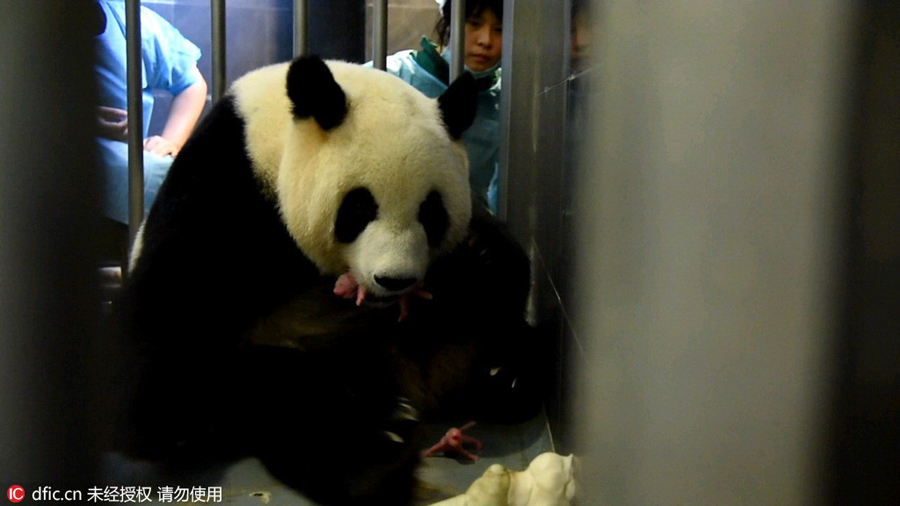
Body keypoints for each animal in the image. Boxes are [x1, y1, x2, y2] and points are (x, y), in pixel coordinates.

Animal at [118, 56, 540, 506]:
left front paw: (480, 254)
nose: (394, 279)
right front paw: (367, 414)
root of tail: (425, 385)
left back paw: (501, 374)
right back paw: (376, 444)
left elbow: (501, 268)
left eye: (431, 212)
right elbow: (153, 376)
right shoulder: (220, 198)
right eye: (359, 207)